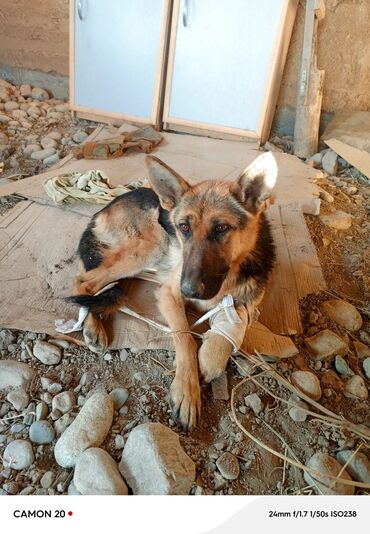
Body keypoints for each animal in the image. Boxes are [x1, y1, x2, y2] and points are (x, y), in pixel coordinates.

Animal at [68, 151, 278, 432]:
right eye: (183, 228)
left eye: (221, 228)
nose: (188, 289)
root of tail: (108, 204)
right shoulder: (169, 293)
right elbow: (185, 338)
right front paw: (187, 392)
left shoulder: (246, 303)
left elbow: (236, 324)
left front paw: (211, 356)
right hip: (150, 246)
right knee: (84, 282)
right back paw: (92, 326)